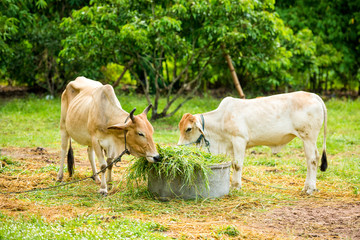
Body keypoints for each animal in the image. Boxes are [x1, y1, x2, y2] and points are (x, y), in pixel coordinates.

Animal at [179, 91, 328, 194]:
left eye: (188, 129)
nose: (179, 146)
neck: (221, 119)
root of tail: (314, 96)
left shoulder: (239, 140)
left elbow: (237, 165)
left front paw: (236, 186)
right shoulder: (232, 145)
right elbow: (233, 164)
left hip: (308, 138)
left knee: (312, 160)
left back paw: (309, 188)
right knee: (315, 158)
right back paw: (310, 187)